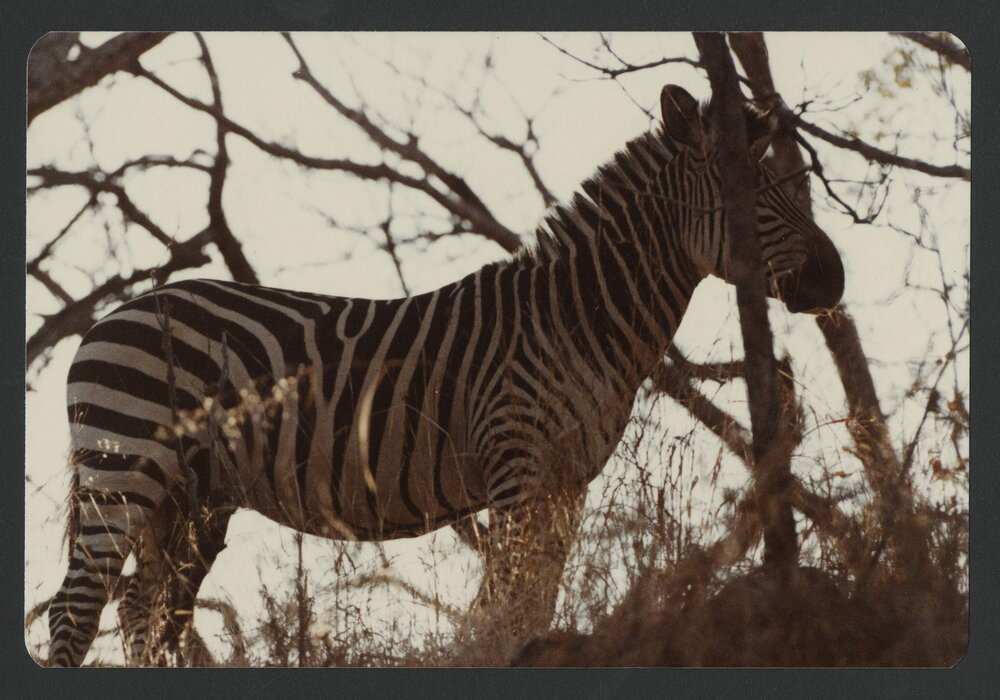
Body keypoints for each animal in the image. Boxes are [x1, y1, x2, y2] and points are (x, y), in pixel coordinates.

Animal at [47, 84, 844, 666]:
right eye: (755, 191)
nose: (835, 278)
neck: (578, 316)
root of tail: (110, 317)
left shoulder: (567, 480)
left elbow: (535, 599)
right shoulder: (519, 465)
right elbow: (511, 599)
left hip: (187, 500)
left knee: (145, 611)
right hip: (125, 466)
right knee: (77, 607)